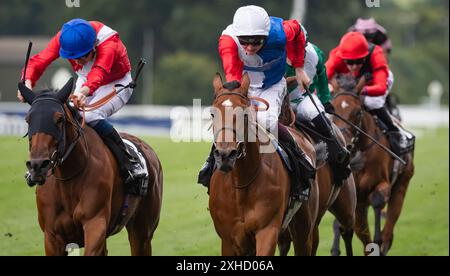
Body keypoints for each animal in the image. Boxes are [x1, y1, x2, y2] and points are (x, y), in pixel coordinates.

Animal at [18, 78, 163, 256]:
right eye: (28, 119)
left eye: (59, 119)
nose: (37, 165)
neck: (69, 177)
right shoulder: (51, 235)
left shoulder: (95, 224)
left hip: (142, 231)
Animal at [210, 72, 320, 256]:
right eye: (212, 114)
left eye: (244, 114)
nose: (225, 155)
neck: (241, 184)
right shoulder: (229, 240)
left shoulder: (267, 230)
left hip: (304, 225)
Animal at [330, 76, 414, 256]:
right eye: (332, 110)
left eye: (358, 112)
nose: (344, 144)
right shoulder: (355, 196)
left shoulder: (381, 185)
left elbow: (378, 201)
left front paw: (378, 241)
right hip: (361, 204)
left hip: (402, 184)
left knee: (390, 225)